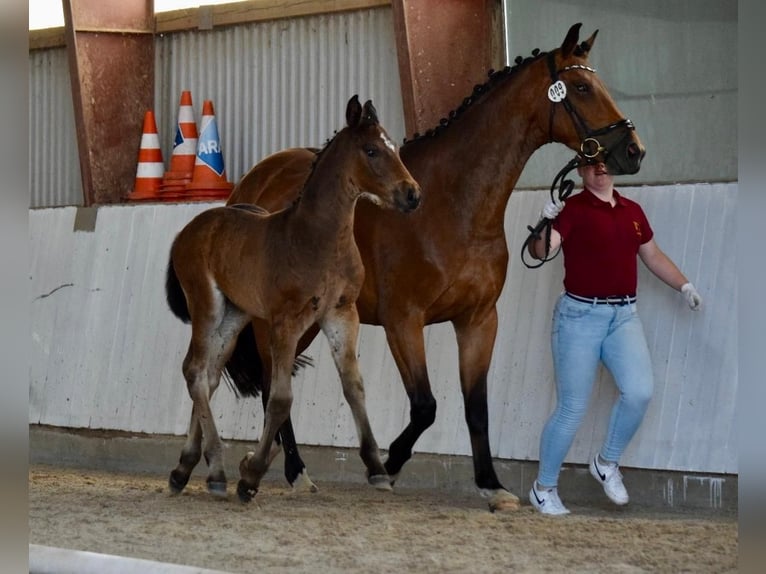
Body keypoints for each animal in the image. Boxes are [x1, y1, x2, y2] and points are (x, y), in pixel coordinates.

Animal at [164, 95, 422, 502]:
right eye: (371, 150)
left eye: (393, 146)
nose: (412, 194)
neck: (318, 239)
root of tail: (186, 232)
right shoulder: (286, 323)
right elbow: (281, 398)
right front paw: (252, 476)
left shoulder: (342, 315)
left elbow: (354, 386)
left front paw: (377, 468)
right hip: (207, 308)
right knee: (194, 370)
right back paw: (215, 471)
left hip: (234, 318)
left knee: (208, 376)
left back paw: (188, 468)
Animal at [224, 23, 645, 511]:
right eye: (581, 87)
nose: (634, 151)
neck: (451, 204)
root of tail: (252, 184)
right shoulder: (403, 321)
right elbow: (426, 406)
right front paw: (386, 465)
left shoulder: (478, 321)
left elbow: (476, 407)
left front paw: (491, 484)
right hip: (281, 318)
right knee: (274, 383)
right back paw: (294, 471)